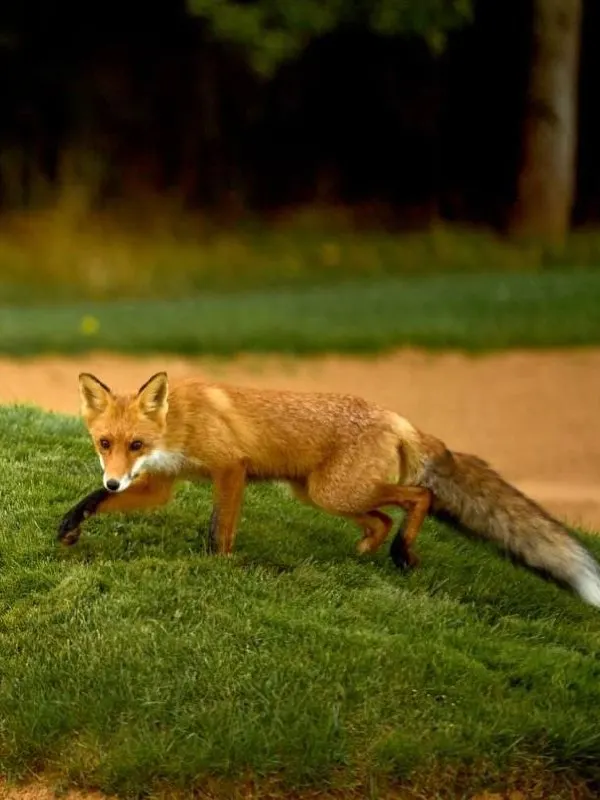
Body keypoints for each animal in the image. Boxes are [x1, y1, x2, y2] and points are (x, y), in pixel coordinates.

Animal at [58, 370, 600, 608]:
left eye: (136, 443)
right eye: (105, 444)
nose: (113, 474)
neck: (178, 423)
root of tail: (399, 418)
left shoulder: (231, 468)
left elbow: (219, 530)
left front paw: (217, 568)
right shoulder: (161, 486)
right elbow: (97, 501)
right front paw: (69, 525)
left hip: (334, 492)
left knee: (419, 498)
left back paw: (403, 554)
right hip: (318, 493)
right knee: (381, 517)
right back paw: (366, 552)